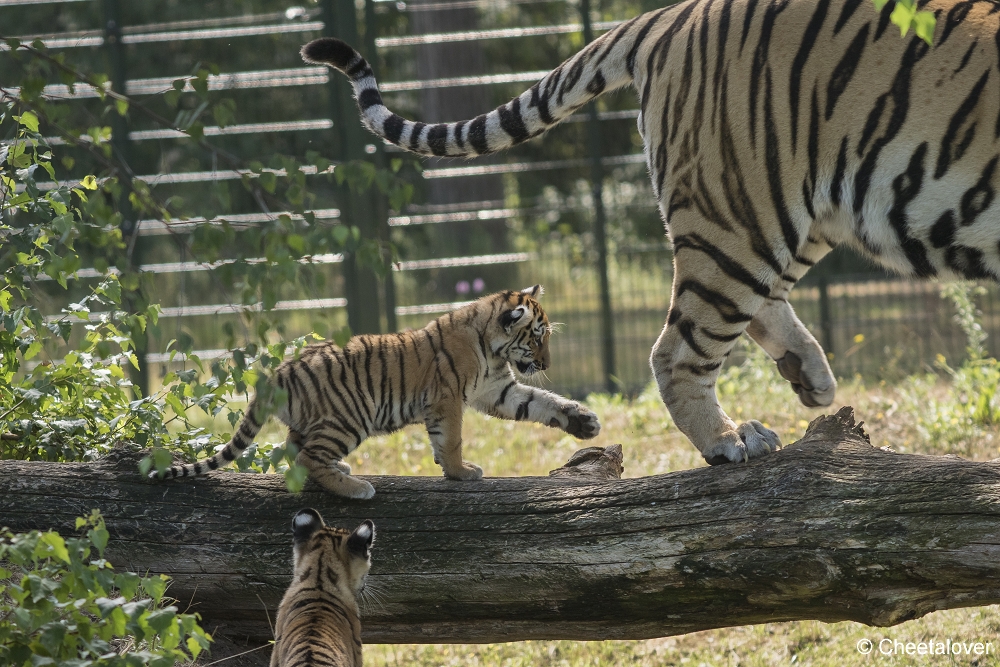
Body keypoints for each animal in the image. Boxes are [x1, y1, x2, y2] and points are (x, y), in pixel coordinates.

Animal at [302, 0, 1000, 468]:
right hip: (742, 205)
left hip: (810, 205)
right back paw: (727, 441)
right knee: (680, 346)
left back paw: (805, 377)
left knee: (757, 304)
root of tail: (675, 11)